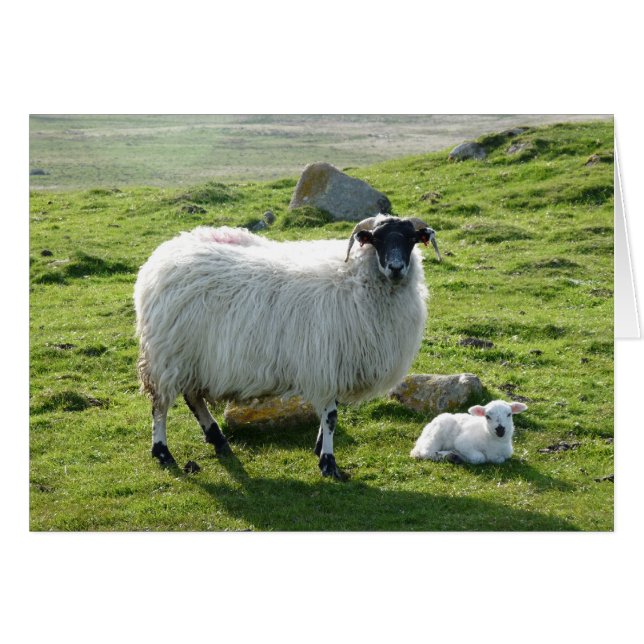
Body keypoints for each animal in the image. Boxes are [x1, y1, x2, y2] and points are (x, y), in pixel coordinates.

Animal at [134, 214, 441, 479]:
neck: (354, 277)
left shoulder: (334, 365)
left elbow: (331, 412)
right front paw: (328, 463)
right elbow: (331, 416)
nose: (396, 268)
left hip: (193, 357)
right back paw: (163, 452)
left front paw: (320, 448)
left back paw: (218, 440)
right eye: (377, 239)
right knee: (161, 404)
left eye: (411, 238)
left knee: (193, 397)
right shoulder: (325, 363)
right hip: (168, 353)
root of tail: (160, 257)